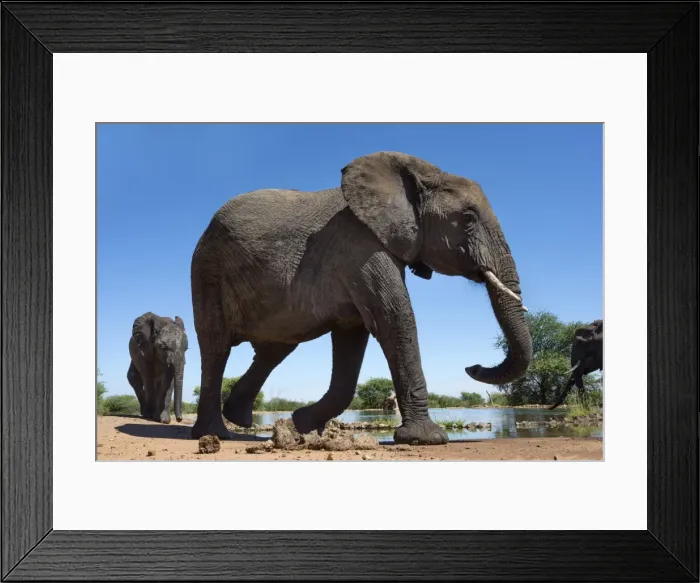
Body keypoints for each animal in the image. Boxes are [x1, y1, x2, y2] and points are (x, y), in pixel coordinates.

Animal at [190, 151, 532, 445]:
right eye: (468, 218)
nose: (472, 367)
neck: (418, 176)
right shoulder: (359, 246)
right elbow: (394, 320)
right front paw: (427, 438)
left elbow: (353, 335)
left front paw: (302, 424)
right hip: (207, 270)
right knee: (216, 347)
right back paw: (216, 434)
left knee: (275, 350)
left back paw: (239, 418)